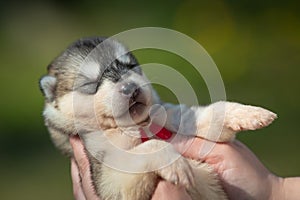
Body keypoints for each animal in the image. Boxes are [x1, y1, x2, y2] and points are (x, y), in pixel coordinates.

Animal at [39, 36, 276, 199]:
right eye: (91, 84)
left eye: (131, 66)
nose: (131, 88)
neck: (138, 126)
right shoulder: (110, 181)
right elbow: (151, 146)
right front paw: (176, 164)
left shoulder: (168, 114)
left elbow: (199, 114)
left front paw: (246, 113)